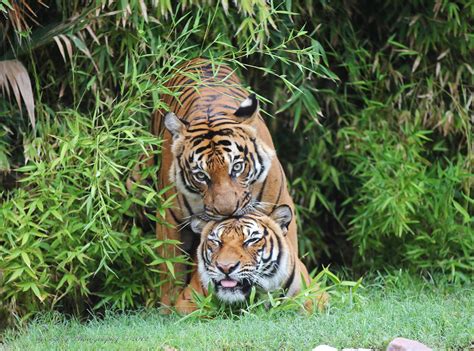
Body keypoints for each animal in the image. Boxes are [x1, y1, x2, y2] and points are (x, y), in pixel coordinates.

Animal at [128, 58, 304, 310]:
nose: (227, 212)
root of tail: (197, 58)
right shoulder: (169, 218)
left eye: (237, 167)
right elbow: (170, 268)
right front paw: (167, 309)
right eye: (201, 176)